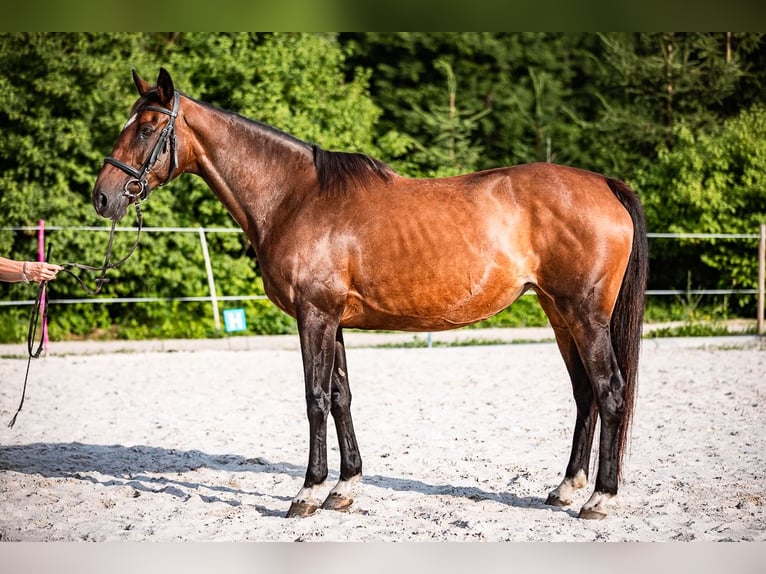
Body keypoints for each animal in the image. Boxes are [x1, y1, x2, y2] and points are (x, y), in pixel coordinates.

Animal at [93, 68, 652, 520]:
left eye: (147, 127)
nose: (103, 196)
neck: (294, 198)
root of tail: (605, 183)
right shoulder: (332, 320)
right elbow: (341, 397)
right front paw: (344, 488)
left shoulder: (314, 316)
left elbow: (315, 398)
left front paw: (308, 493)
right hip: (559, 313)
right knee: (584, 393)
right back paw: (566, 488)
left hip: (585, 315)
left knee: (609, 390)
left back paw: (599, 499)